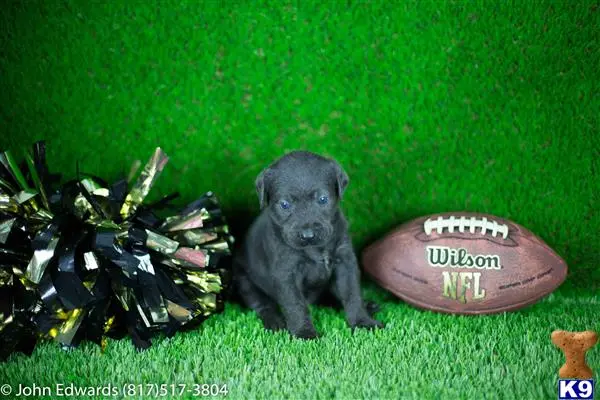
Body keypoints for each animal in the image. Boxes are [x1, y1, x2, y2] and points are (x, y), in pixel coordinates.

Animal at [232, 152, 382, 340]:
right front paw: (304, 333)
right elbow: (295, 304)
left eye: (323, 199)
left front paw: (363, 321)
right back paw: (275, 322)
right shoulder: (286, 272)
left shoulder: (345, 260)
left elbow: (351, 292)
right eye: (285, 204)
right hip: (244, 281)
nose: (308, 235)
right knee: (262, 305)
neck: (315, 249)